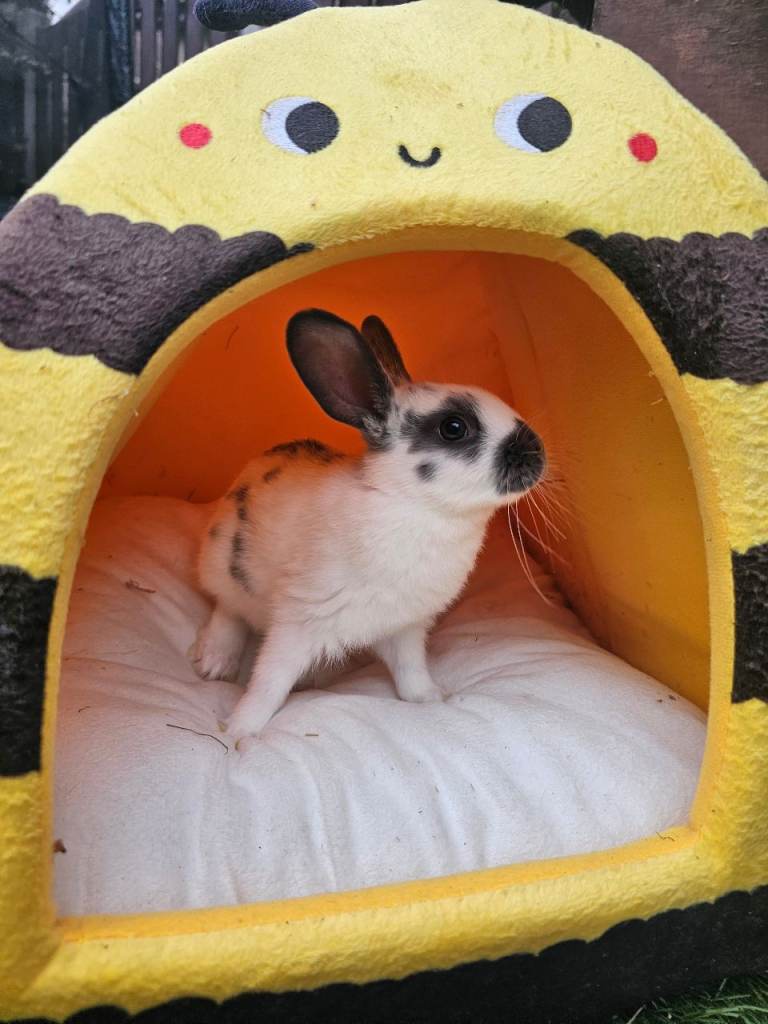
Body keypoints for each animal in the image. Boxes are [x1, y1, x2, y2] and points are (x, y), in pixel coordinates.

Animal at [191, 309, 546, 742]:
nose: (538, 453)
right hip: (227, 565)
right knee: (227, 609)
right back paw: (214, 663)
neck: (416, 507)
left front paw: (432, 700)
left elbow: (411, 671)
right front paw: (238, 732)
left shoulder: (406, 627)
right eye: (454, 427)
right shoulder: (298, 622)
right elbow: (268, 683)